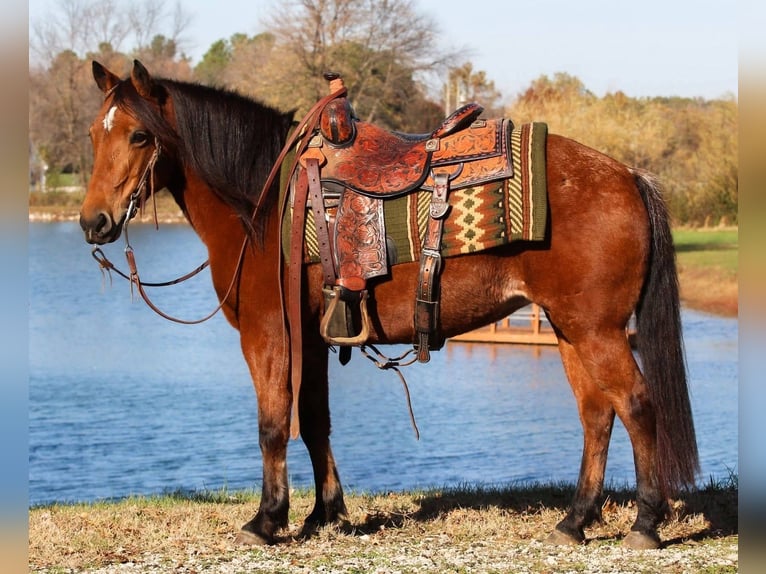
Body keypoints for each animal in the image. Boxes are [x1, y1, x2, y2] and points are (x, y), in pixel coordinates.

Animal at [79, 59, 698, 550]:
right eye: (92, 134)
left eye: (139, 136)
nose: (93, 222)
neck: (264, 204)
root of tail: (628, 174)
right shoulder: (314, 339)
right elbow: (316, 421)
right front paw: (325, 514)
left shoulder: (270, 333)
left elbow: (273, 424)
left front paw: (267, 519)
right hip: (572, 330)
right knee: (597, 414)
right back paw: (574, 521)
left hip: (598, 331)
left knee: (637, 406)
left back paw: (645, 523)